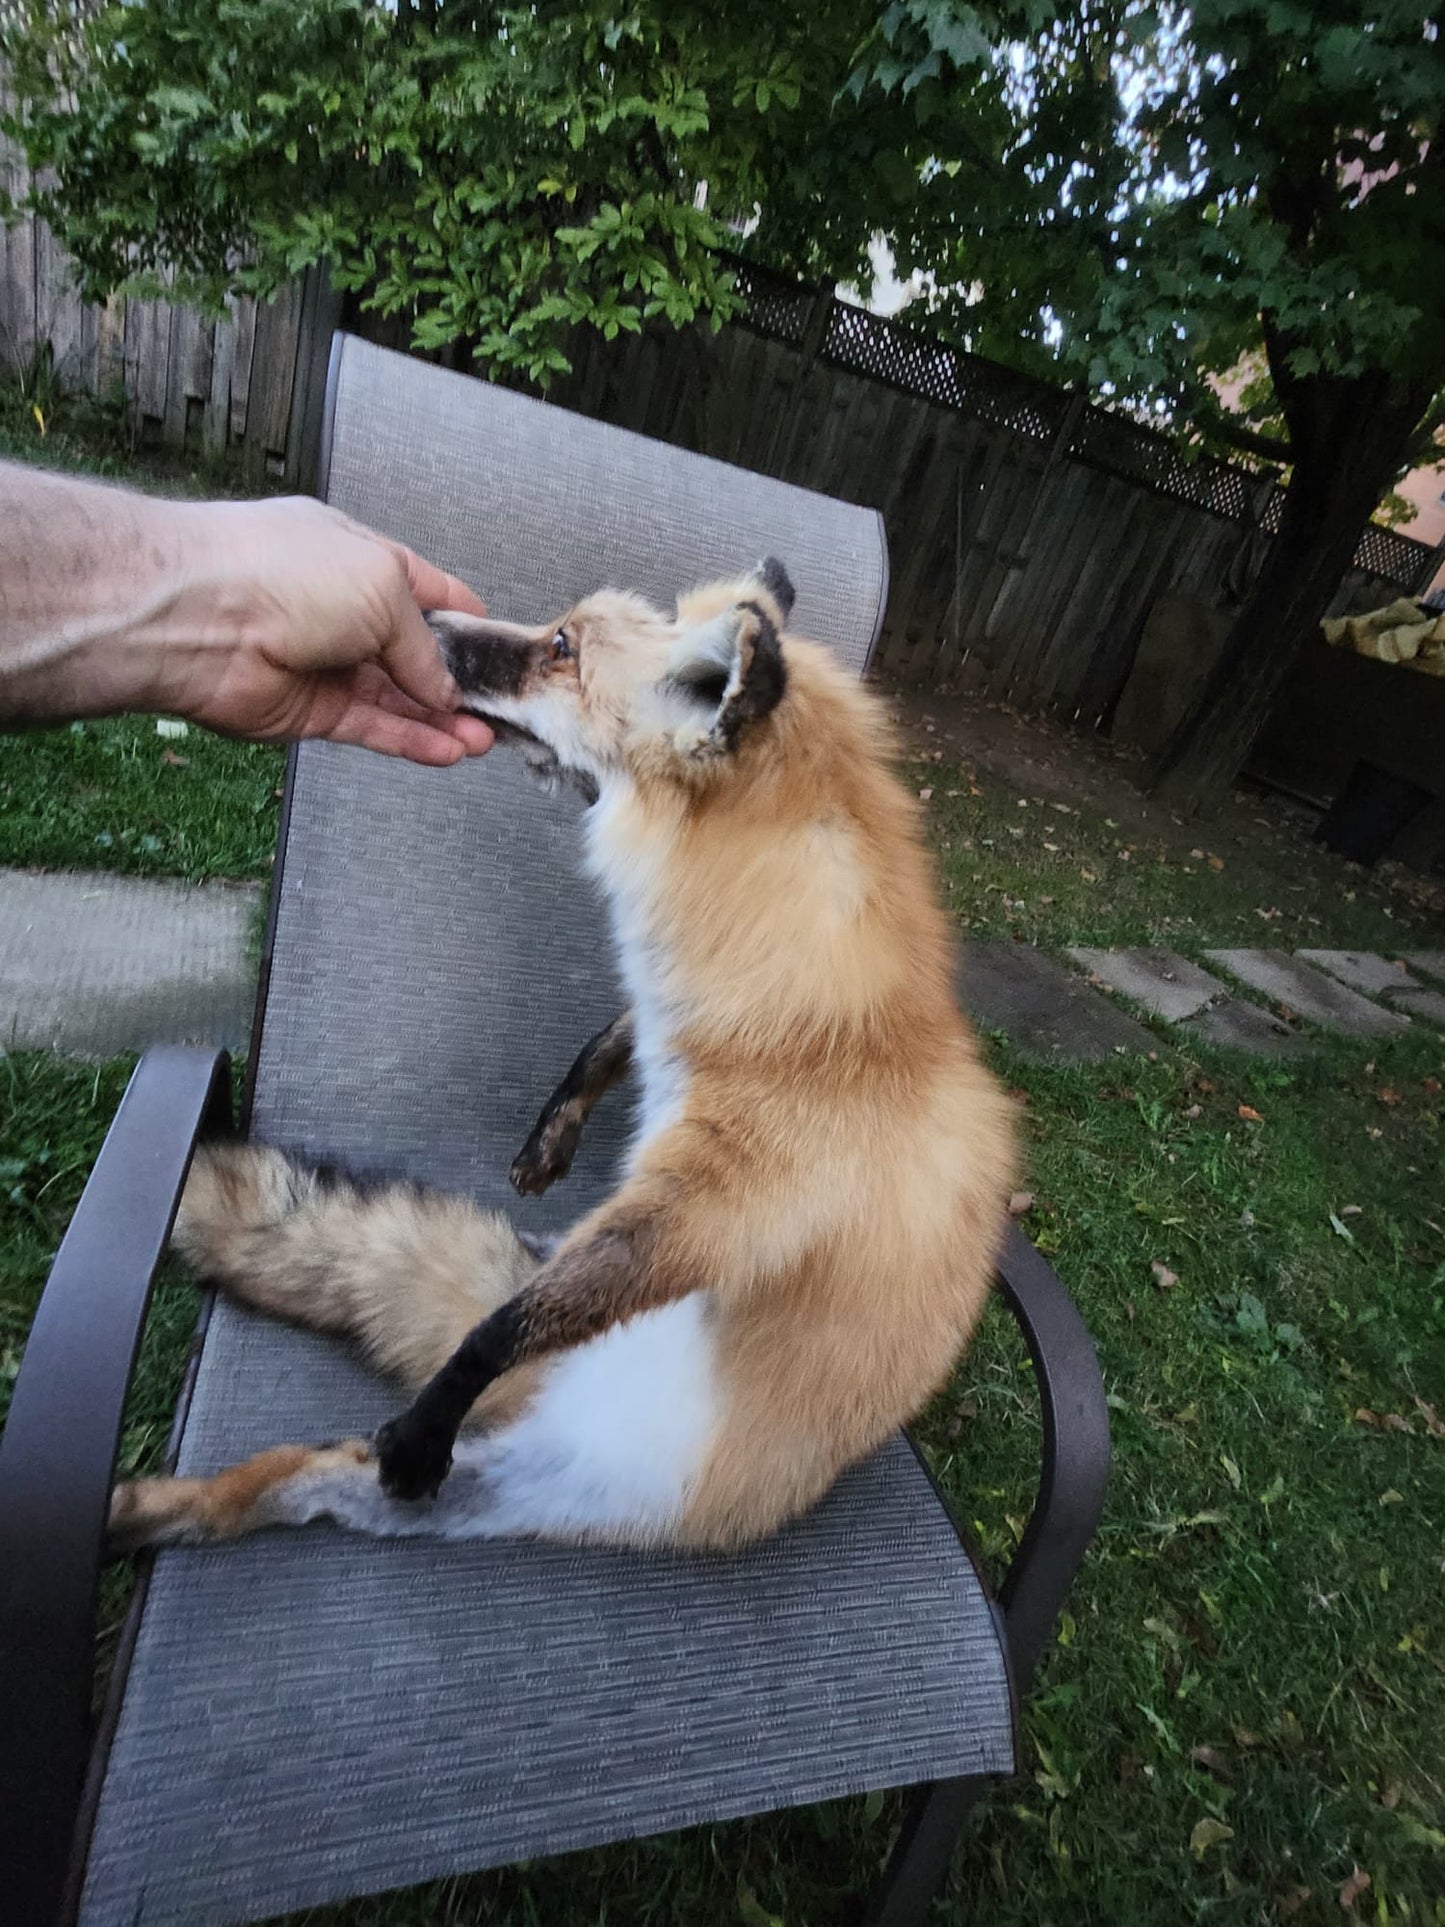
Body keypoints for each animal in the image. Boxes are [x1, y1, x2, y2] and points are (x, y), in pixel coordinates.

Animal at [108, 559, 1017, 1556]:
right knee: (271, 1482)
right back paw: (142, 1508)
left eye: (559, 646)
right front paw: (553, 1135)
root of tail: (566, 1399)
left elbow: (508, 1321)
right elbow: (607, 1039)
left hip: (507, 1487)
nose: (422, 613)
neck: (793, 994)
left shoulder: (723, 1202)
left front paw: (436, 1405)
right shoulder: (664, 1050)